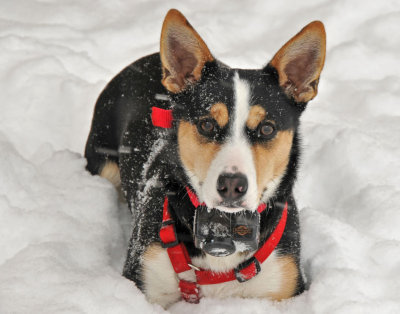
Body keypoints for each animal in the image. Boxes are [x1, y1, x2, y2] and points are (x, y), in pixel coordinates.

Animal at [84, 8, 324, 308]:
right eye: (207, 124)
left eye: (267, 129)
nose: (232, 184)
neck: (225, 229)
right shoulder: (146, 275)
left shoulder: (286, 283)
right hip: (102, 158)